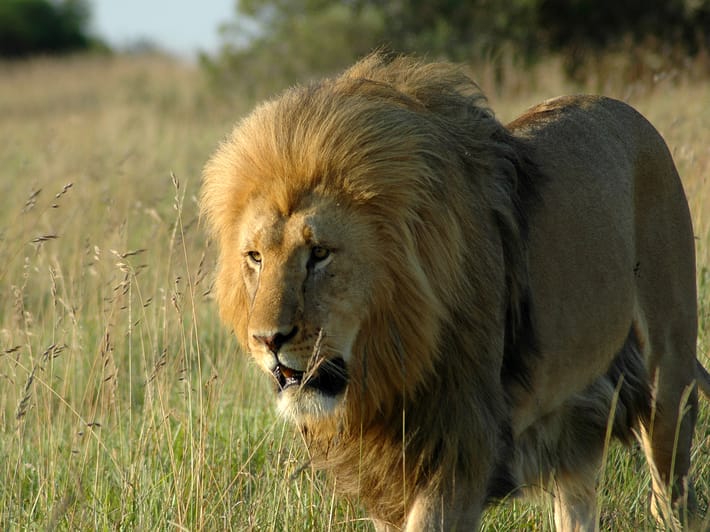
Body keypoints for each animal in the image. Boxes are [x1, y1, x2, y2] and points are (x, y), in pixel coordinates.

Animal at [201, 53, 710, 531]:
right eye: (255, 257)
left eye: (320, 254)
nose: (267, 340)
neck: (393, 359)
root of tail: (629, 112)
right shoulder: (388, 471)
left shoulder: (460, 448)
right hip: (575, 418)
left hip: (668, 385)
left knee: (672, 500)